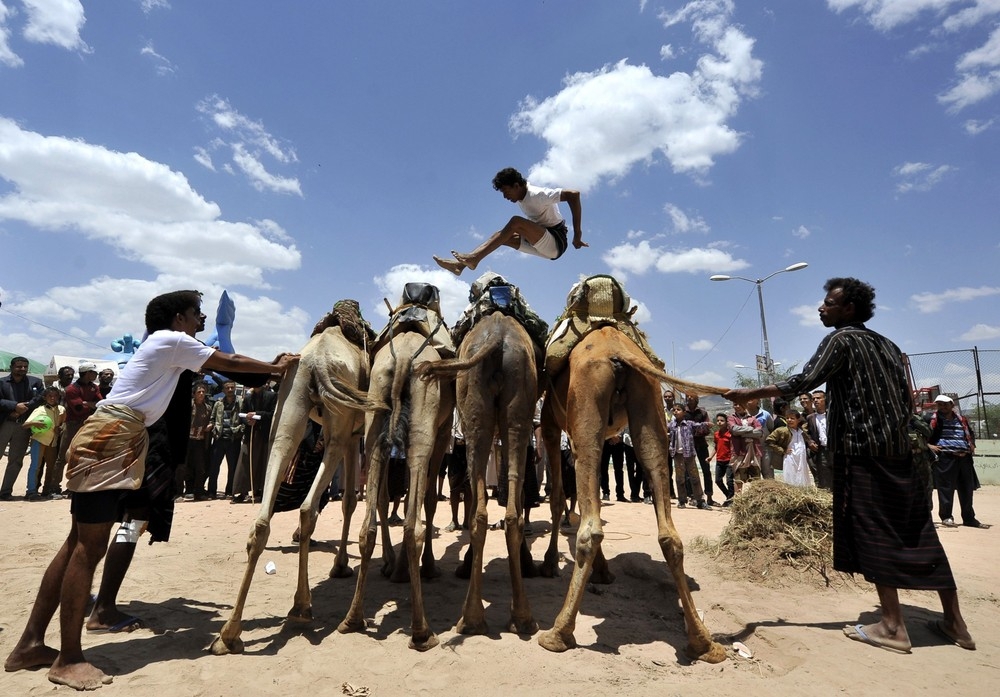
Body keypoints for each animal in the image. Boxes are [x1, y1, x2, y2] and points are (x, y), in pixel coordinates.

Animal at [209, 302, 374, 656]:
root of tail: (317, 360)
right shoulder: (354, 436)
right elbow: (349, 502)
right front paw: (340, 565)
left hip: (290, 407)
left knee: (263, 519)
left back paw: (230, 634)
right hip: (336, 425)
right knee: (308, 507)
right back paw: (301, 607)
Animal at [340, 286, 458, 648]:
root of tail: (404, 356)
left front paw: (398, 570)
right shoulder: (443, 432)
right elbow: (428, 501)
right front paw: (426, 568)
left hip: (377, 407)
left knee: (369, 524)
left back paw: (352, 619)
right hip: (423, 419)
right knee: (413, 524)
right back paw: (422, 631)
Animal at [416, 306, 544, 636]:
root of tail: (498, 337)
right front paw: (527, 563)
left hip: (475, 398)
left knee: (481, 512)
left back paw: (471, 619)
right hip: (516, 400)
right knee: (509, 512)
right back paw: (522, 618)